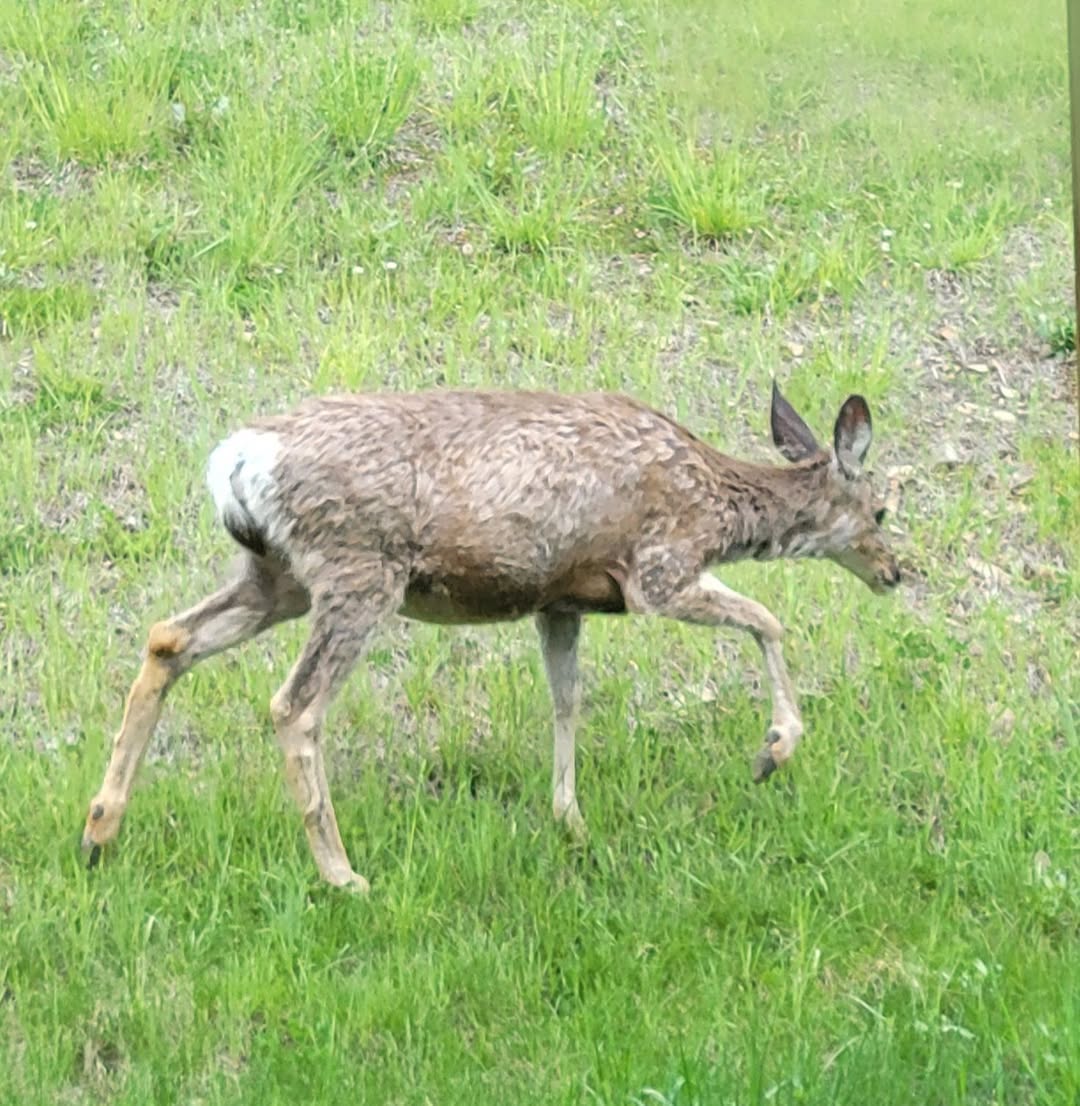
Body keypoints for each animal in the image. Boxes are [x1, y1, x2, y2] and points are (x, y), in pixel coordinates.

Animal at [81, 382, 900, 891]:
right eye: (885, 510)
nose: (897, 570)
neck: (720, 506)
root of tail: (237, 459)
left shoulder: (561, 600)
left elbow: (567, 700)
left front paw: (570, 822)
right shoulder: (658, 573)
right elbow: (768, 619)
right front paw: (774, 749)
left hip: (276, 575)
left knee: (169, 638)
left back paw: (99, 831)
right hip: (358, 570)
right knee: (294, 704)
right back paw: (342, 874)